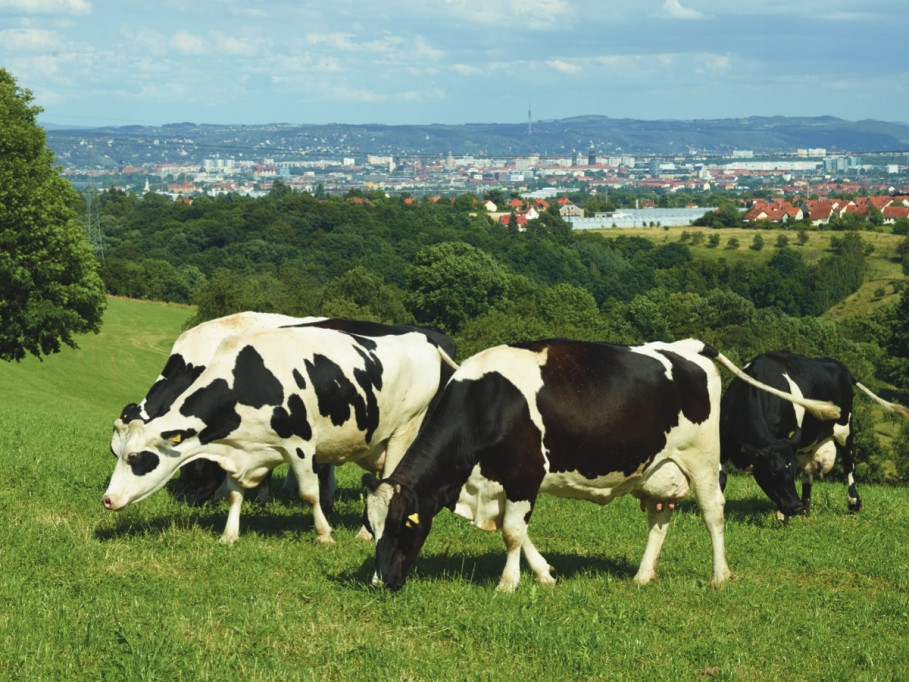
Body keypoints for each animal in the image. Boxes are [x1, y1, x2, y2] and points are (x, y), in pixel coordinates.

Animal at [105, 318, 458, 540]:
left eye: (135, 457)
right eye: (116, 454)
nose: (107, 500)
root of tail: (422, 338)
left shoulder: (300, 445)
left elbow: (309, 493)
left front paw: (324, 533)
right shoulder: (240, 449)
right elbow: (234, 494)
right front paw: (229, 535)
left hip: (405, 431)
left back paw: (364, 532)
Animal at [360, 336, 836, 588]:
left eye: (401, 527)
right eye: (372, 527)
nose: (382, 582)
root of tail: (686, 346)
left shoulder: (525, 475)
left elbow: (513, 533)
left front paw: (508, 584)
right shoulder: (501, 483)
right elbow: (521, 533)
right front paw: (545, 574)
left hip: (701, 459)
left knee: (713, 514)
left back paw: (720, 575)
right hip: (659, 469)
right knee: (661, 520)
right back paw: (643, 575)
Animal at [716, 348, 908, 516]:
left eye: (791, 472)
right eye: (772, 473)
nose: (796, 507)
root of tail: (841, 367)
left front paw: (782, 515)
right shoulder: (723, 444)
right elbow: (720, 479)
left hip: (845, 429)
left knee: (849, 465)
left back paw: (853, 503)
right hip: (809, 444)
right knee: (809, 474)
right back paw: (806, 509)